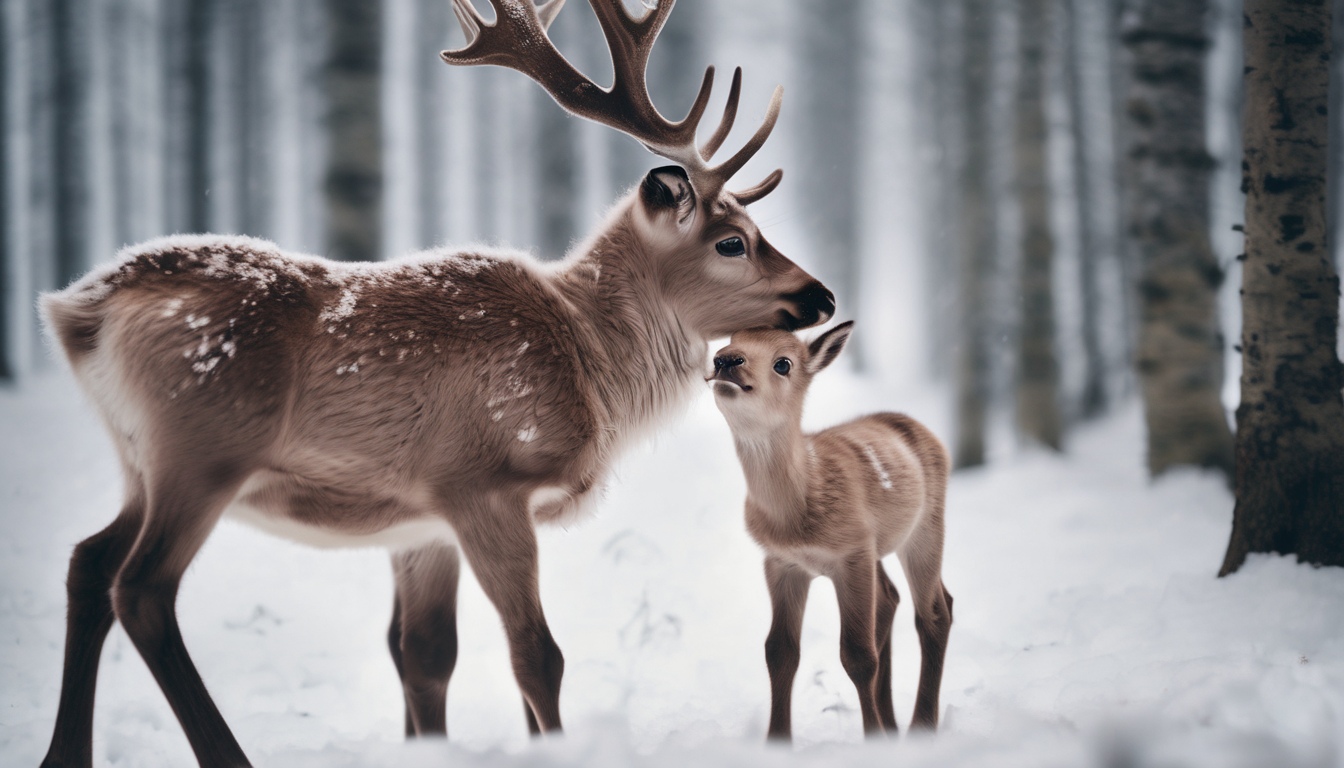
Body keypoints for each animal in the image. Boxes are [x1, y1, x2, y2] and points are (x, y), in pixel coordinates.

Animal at [36, 1, 834, 766]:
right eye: (731, 241)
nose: (822, 295)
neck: (591, 364)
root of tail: (80, 307)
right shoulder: (481, 482)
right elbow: (536, 656)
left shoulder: (421, 525)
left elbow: (423, 658)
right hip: (203, 446)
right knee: (141, 587)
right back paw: (225, 754)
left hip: (139, 459)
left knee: (88, 561)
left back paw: (63, 754)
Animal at [707, 321, 953, 742]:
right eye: (729, 342)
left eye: (783, 363)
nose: (725, 361)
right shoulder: (782, 562)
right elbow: (779, 651)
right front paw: (777, 741)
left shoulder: (851, 553)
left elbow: (858, 655)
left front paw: (873, 740)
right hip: (878, 547)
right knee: (894, 598)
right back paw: (893, 723)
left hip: (926, 526)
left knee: (933, 613)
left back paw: (920, 727)